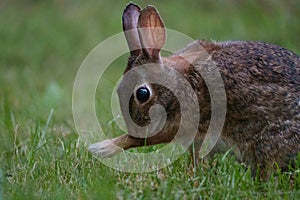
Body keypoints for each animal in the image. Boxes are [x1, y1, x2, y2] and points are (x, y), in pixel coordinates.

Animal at [88, 1, 300, 180]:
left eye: (142, 94)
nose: (135, 127)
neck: (174, 83)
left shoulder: (183, 119)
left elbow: (143, 140)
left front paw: (101, 148)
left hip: (269, 142)